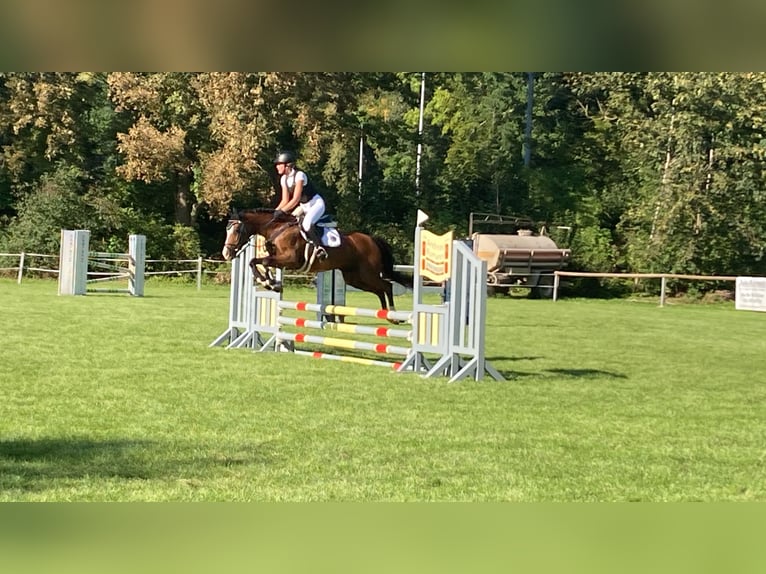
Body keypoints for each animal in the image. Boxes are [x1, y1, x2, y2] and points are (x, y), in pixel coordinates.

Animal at [222, 209, 414, 316]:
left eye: (236, 230)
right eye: (227, 229)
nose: (226, 253)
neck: (278, 229)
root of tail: (371, 240)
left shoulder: (291, 260)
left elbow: (260, 261)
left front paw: (270, 283)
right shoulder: (280, 260)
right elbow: (257, 262)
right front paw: (270, 283)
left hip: (367, 273)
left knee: (386, 286)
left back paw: (393, 314)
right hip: (356, 278)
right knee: (380, 290)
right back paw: (386, 314)